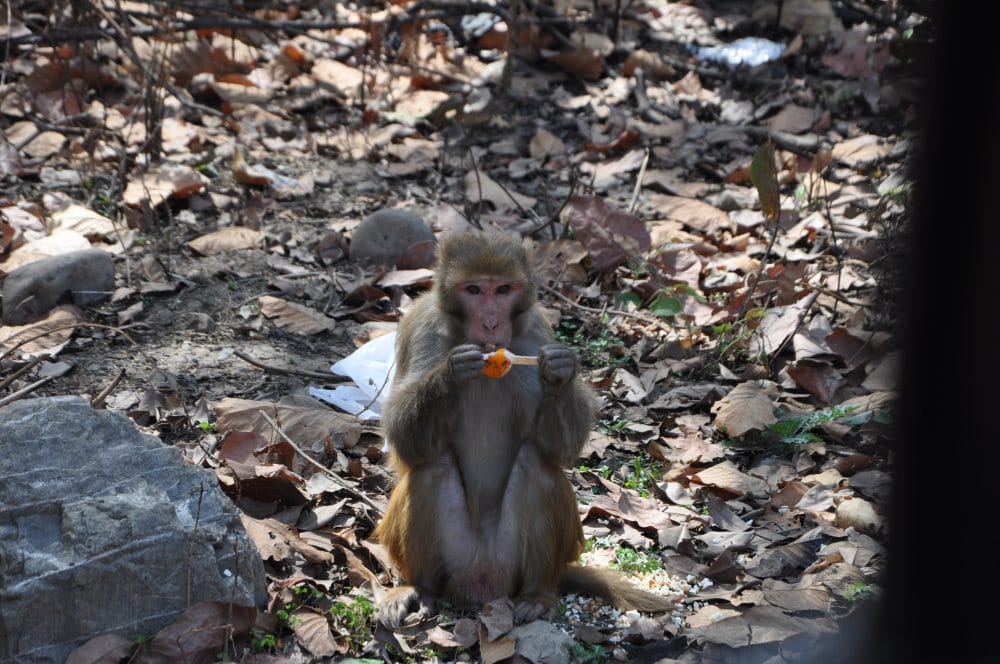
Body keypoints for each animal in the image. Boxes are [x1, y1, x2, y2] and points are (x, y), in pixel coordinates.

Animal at [373, 229, 676, 628]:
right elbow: (404, 439)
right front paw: (452, 372)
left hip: (512, 561)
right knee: (432, 468)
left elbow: (559, 450)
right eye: (474, 290)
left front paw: (559, 374)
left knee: (537, 467)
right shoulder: (423, 328)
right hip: (454, 559)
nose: (490, 323)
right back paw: (419, 588)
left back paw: (536, 595)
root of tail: (482, 582)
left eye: (503, 290)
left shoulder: (536, 333)